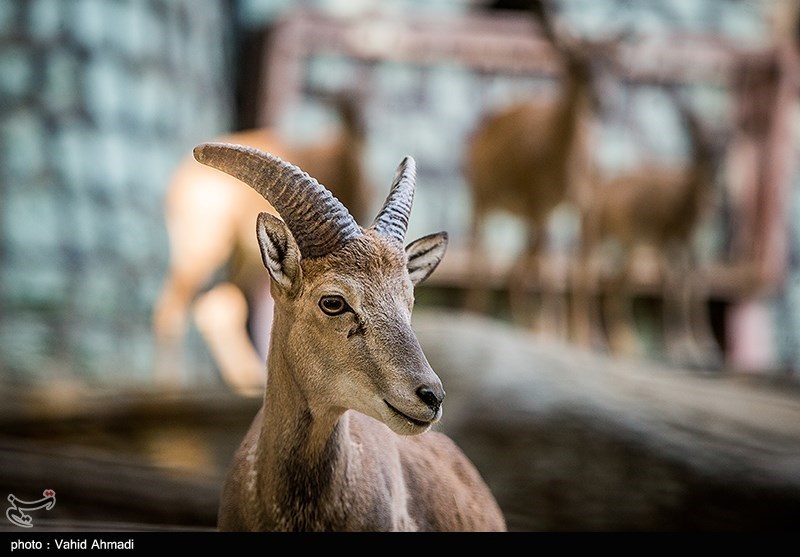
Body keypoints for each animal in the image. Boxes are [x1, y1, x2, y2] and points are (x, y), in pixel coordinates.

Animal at [462, 2, 612, 332]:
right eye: (577, 64)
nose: (601, 99)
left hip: (521, 212)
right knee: (481, 252)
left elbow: (582, 264)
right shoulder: (538, 198)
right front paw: (552, 330)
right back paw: (477, 315)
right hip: (480, 195)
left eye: (613, 65)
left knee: (517, 265)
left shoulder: (585, 201)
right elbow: (550, 264)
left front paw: (579, 333)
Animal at [572, 93, 720, 368]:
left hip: (627, 246)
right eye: (698, 139)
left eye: (727, 137)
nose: (714, 162)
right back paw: (593, 342)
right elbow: (672, 284)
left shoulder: (691, 241)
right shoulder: (664, 238)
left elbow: (696, 282)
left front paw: (705, 349)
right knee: (586, 277)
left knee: (613, 285)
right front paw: (681, 349)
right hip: (596, 235)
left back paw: (621, 347)